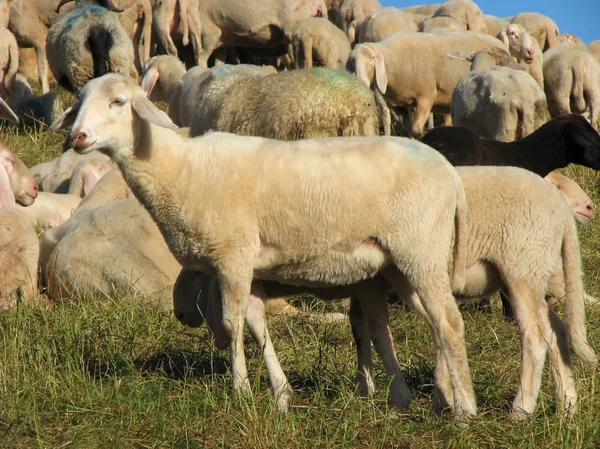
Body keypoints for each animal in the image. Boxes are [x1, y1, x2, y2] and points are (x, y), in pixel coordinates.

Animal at [346, 29, 506, 136]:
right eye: (352, 61)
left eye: (372, 59)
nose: (360, 81)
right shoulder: (401, 106)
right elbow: (406, 129)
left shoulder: (426, 95)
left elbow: (416, 129)